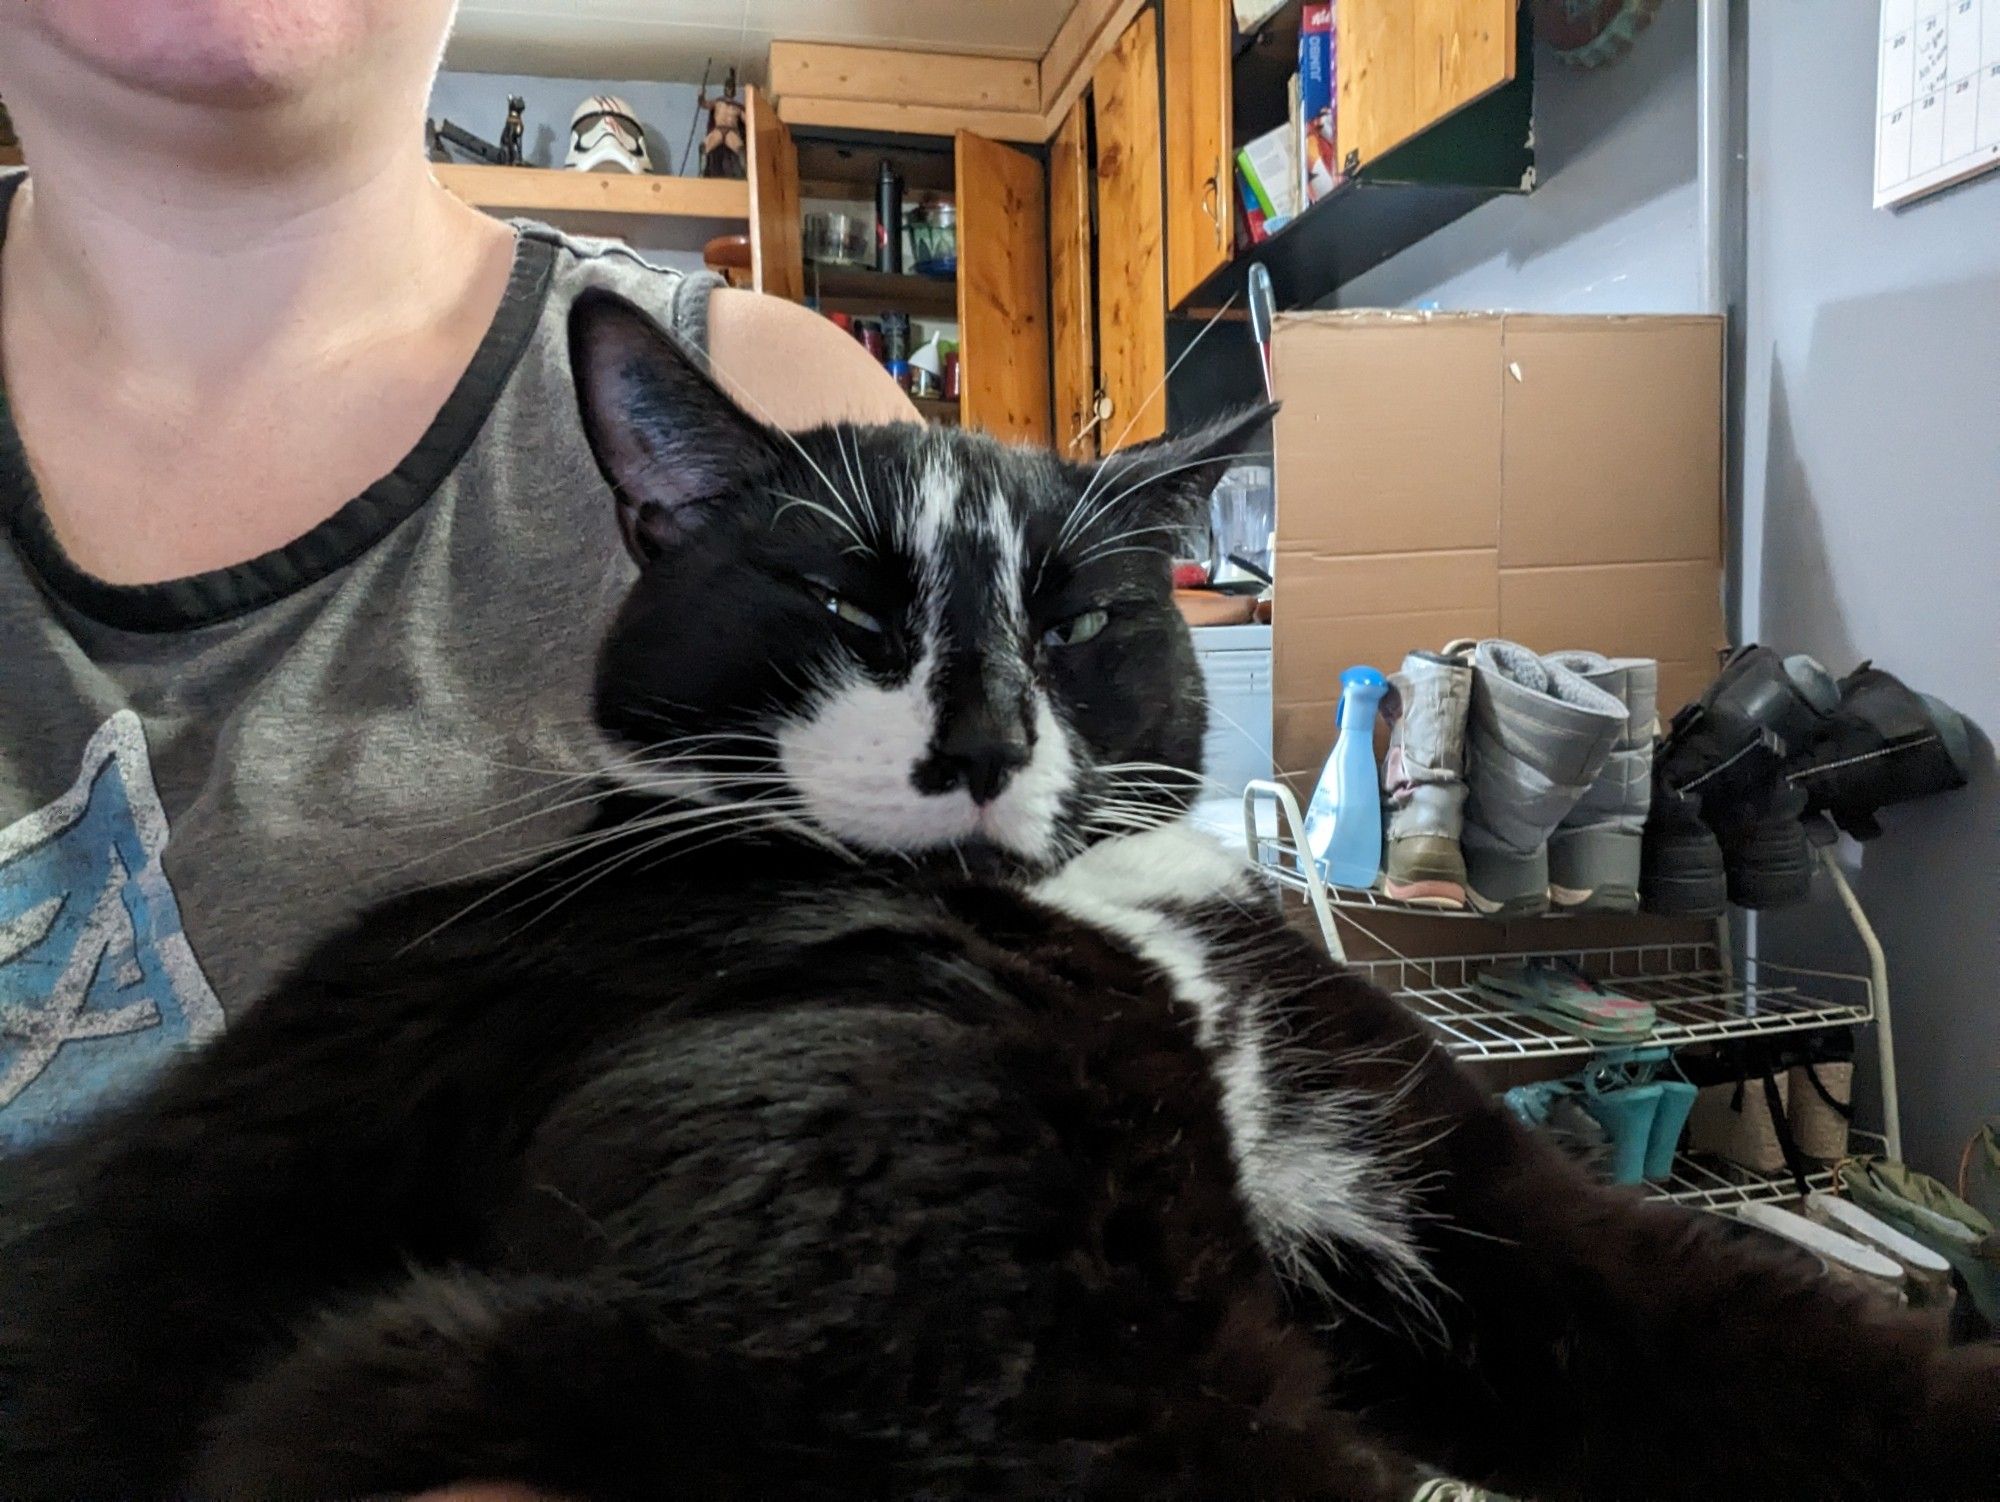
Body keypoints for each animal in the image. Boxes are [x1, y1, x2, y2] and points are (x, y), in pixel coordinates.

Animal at [0, 294, 1992, 1502]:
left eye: (1080, 617)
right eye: (845, 604)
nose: (977, 734)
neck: (1100, 911)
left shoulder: (1457, 1178)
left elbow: (1758, 1329)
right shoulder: (952, 1296)